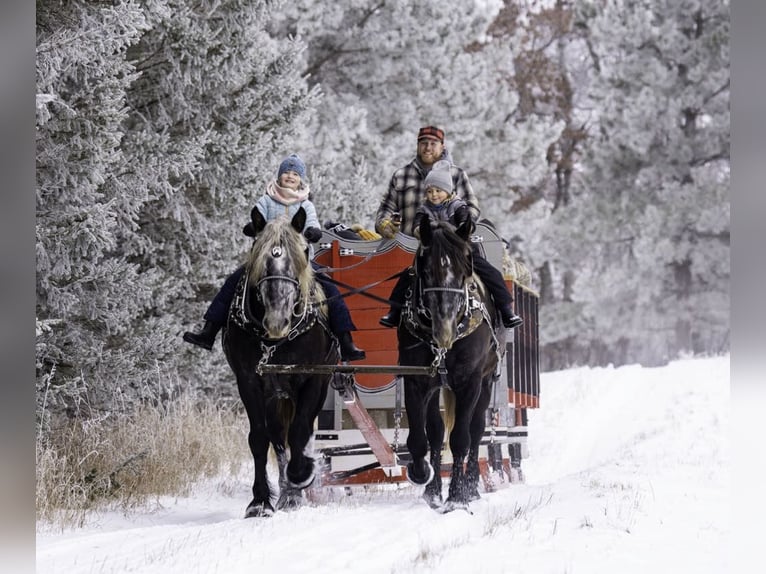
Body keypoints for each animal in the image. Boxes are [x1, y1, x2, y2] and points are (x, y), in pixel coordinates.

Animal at [224, 209, 340, 520]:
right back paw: (286, 493)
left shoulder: (313, 379)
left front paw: (301, 475)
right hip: (276, 395)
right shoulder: (249, 381)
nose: (277, 320)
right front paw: (260, 501)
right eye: (258, 253)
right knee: (278, 437)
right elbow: (259, 437)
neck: (275, 340)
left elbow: (301, 431)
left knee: (300, 432)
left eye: (303, 253)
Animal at [400, 218, 508, 516]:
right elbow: (420, 436)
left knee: (476, 429)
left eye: (464, 268)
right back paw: (434, 490)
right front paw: (422, 475)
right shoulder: (416, 380)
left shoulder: (470, 382)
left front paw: (458, 496)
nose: (444, 330)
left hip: (485, 382)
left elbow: (462, 437)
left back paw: (470, 486)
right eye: (425, 270)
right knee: (437, 433)